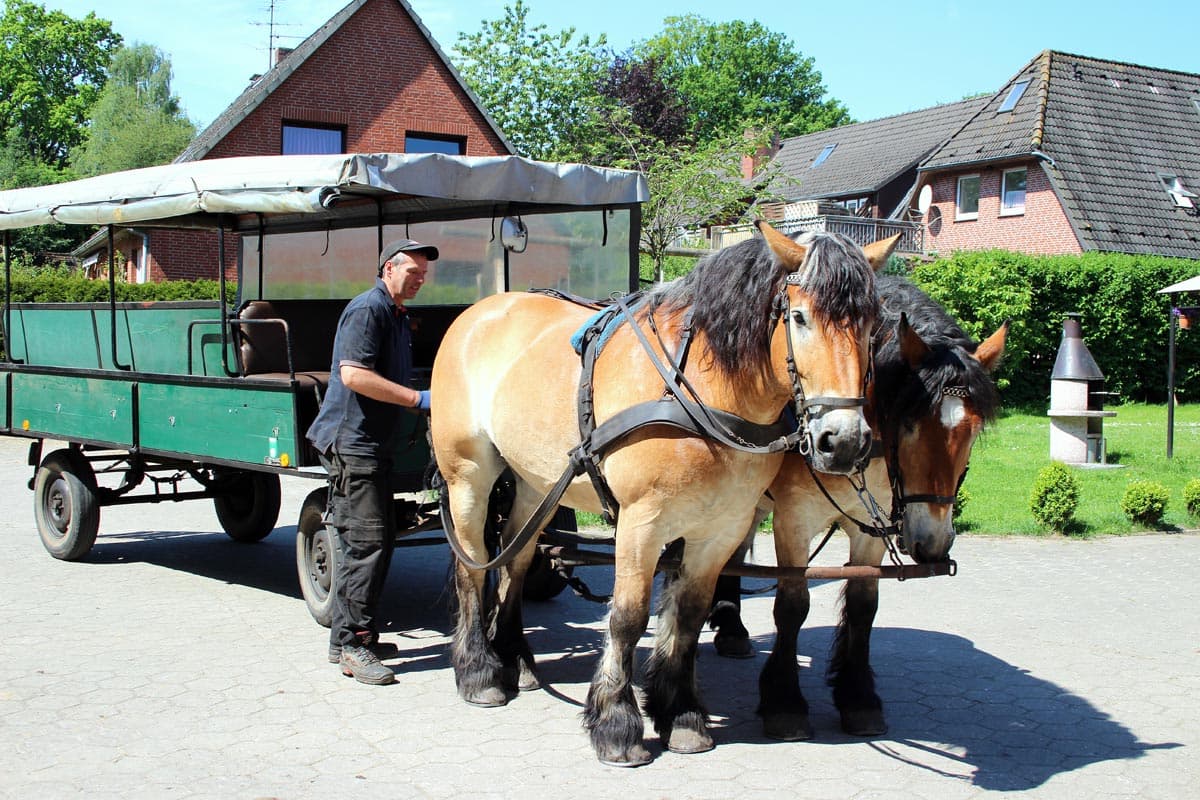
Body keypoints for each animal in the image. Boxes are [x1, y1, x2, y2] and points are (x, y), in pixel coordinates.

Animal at [432, 221, 892, 767]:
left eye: (872, 325)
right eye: (799, 317)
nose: (843, 442)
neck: (700, 392)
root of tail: (479, 311)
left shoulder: (721, 529)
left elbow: (689, 616)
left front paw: (682, 714)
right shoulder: (642, 523)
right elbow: (629, 618)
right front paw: (616, 722)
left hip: (535, 482)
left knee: (515, 558)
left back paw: (514, 658)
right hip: (468, 475)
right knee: (472, 562)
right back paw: (478, 670)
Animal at [729, 278, 1003, 743]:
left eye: (973, 430)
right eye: (908, 423)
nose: (933, 543)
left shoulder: (870, 528)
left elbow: (863, 605)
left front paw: (857, 697)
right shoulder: (794, 520)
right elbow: (792, 605)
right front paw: (784, 702)